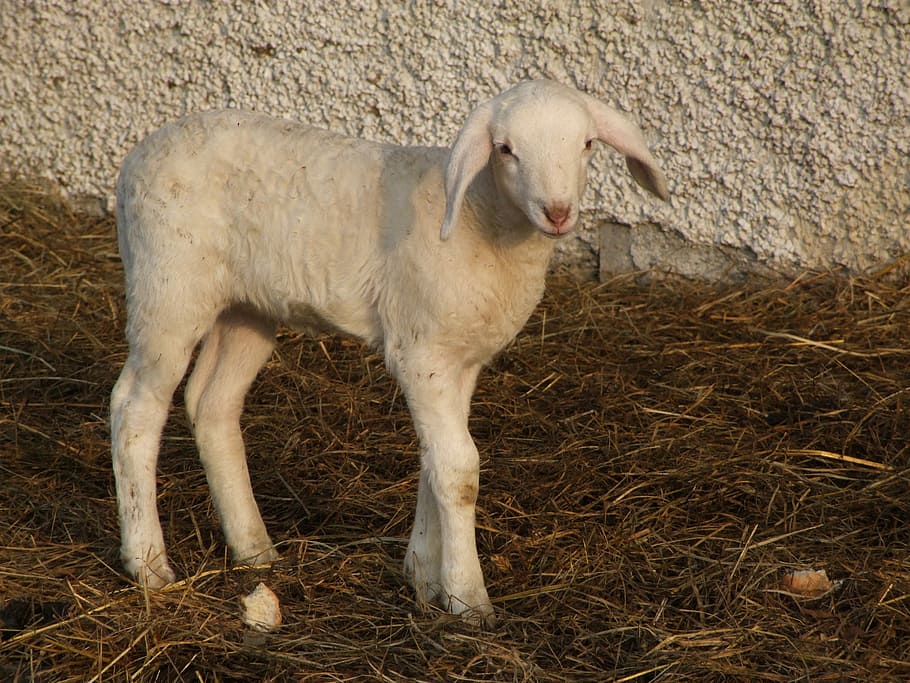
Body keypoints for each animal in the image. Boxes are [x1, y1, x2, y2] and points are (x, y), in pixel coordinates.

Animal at [110, 79, 669, 627]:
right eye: (506, 149)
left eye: (588, 143)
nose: (557, 212)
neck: (478, 218)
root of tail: (136, 156)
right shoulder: (421, 354)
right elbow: (460, 469)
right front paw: (468, 600)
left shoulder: (458, 362)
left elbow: (435, 460)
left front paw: (422, 574)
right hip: (168, 285)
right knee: (134, 408)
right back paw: (149, 566)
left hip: (246, 308)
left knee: (212, 404)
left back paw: (254, 550)